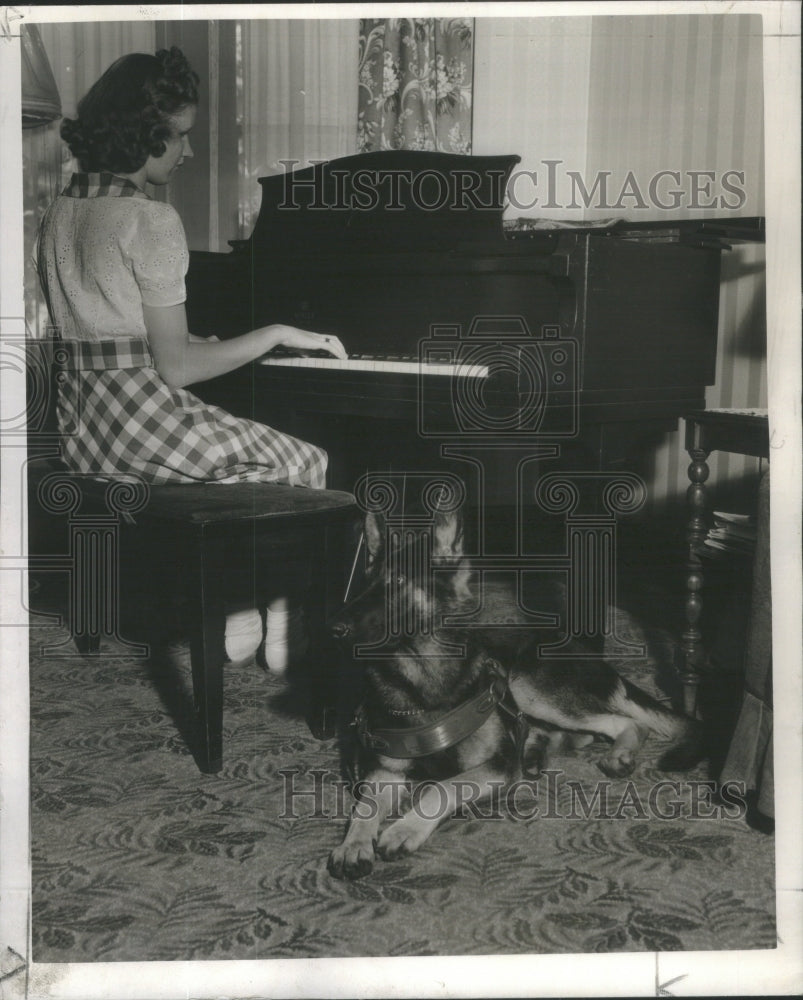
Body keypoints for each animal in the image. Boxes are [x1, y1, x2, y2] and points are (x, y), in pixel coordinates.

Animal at [326, 504, 704, 880]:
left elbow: (442, 786)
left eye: (398, 582)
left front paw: (404, 828)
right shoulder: (385, 771)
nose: (334, 629)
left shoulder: (499, 765)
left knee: (626, 722)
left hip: (526, 685)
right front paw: (353, 845)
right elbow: (364, 807)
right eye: (363, 584)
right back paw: (538, 750)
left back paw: (615, 754)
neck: (423, 677)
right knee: (580, 733)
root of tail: (583, 650)